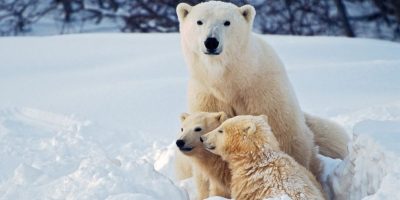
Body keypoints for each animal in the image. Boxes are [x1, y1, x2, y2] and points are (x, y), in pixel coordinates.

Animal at [177, 1, 348, 180]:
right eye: (199, 21)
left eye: (227, 22)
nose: (211, 42)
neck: (230, 80)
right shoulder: (207, 96)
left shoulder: (263, 91)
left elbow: (284, 134)